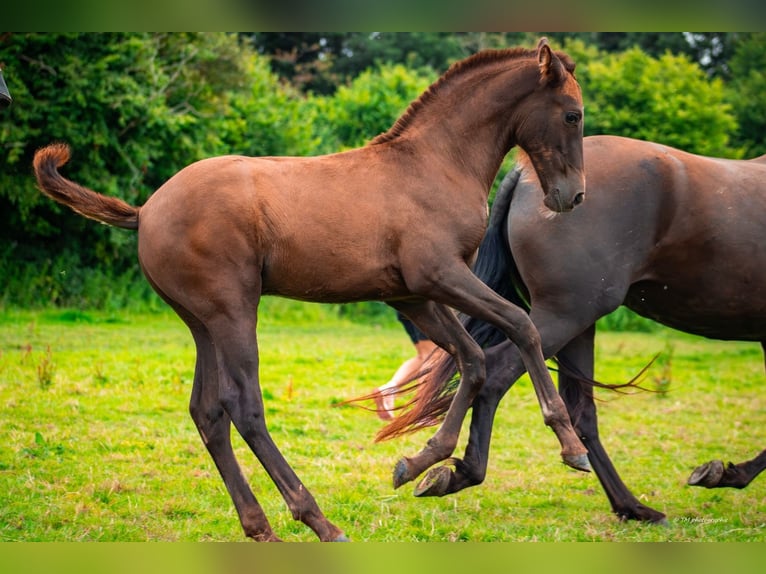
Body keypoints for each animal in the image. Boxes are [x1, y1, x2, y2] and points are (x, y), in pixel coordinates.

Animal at [33, 40, 588, 544]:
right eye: (572, 114)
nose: (573, 196)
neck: (434, 163)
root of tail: (146, 211)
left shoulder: (413, 295)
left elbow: (471, 358)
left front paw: (420, 464)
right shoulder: (440, 276)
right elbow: (521, 326)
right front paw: (570, 444)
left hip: (202, 324)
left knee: (207, 412)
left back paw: (261, 529)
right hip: (235, 312)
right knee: (244, 407)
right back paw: (319, 521)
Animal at [384, 135, 766, 528]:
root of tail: (522, 176)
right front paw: (726, 473)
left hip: (577, 327)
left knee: (580, 412)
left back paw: (631, 506)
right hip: (565, 316)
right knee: (496, 373)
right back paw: (463, 472)